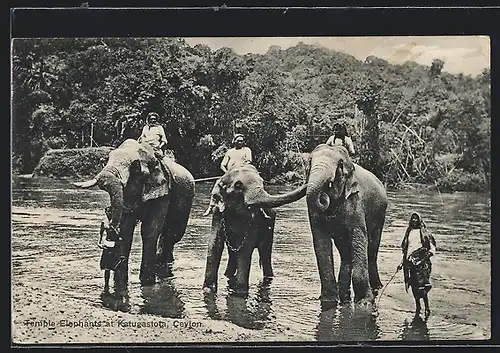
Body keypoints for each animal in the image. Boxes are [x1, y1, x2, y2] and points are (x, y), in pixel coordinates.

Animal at [74, 138, 195, 286]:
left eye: (136, 168)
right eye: (106, 160)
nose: (108, 213)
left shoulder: (163, 192)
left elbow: (149, 230)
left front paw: (147, 282)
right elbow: (126, 230)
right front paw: (120, 280)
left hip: (186, 199)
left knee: (172, 235)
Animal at [201, 164, 306, 294]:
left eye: (262, 182)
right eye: (238, 185)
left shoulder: (253, 218)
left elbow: (245, 249)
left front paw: (240, 293)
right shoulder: (217, 214)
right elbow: (215, 244)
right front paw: (208, 290)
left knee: (265, 253)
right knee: (233, 253)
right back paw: (228, 275)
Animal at [302, 144, 388, 304]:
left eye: (340, 164)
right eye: (309, 161)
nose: (324, 196)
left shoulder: (356, 202)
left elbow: (359, 238)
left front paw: (365, 302)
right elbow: (321, 242)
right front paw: (328, 301)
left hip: (380, 216)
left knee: (372, 251)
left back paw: (377, 287)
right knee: (346, 254)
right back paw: (344, 295)